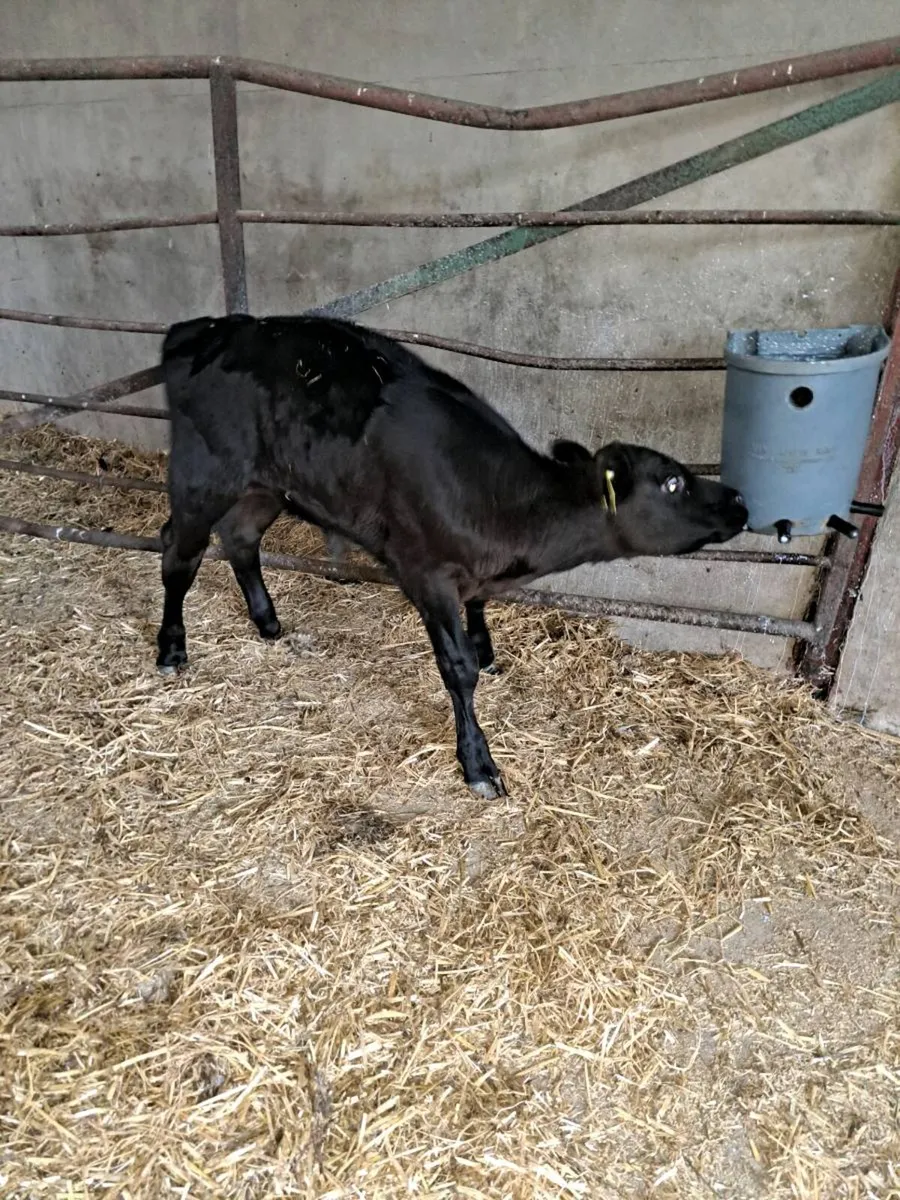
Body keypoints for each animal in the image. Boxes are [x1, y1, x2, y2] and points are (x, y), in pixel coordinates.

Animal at [155, 314, 747, 799]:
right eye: (673, 483)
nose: (739, 500)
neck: (503, 506)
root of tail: (206, 328)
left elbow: (479, 615)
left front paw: (486, 649)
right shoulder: (427, 572)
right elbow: (457, 670)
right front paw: (478, 763)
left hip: (266, 485)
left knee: (239, 537)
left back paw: (266, 621)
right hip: (202, 473)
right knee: (178, 550)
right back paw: (171, 647)